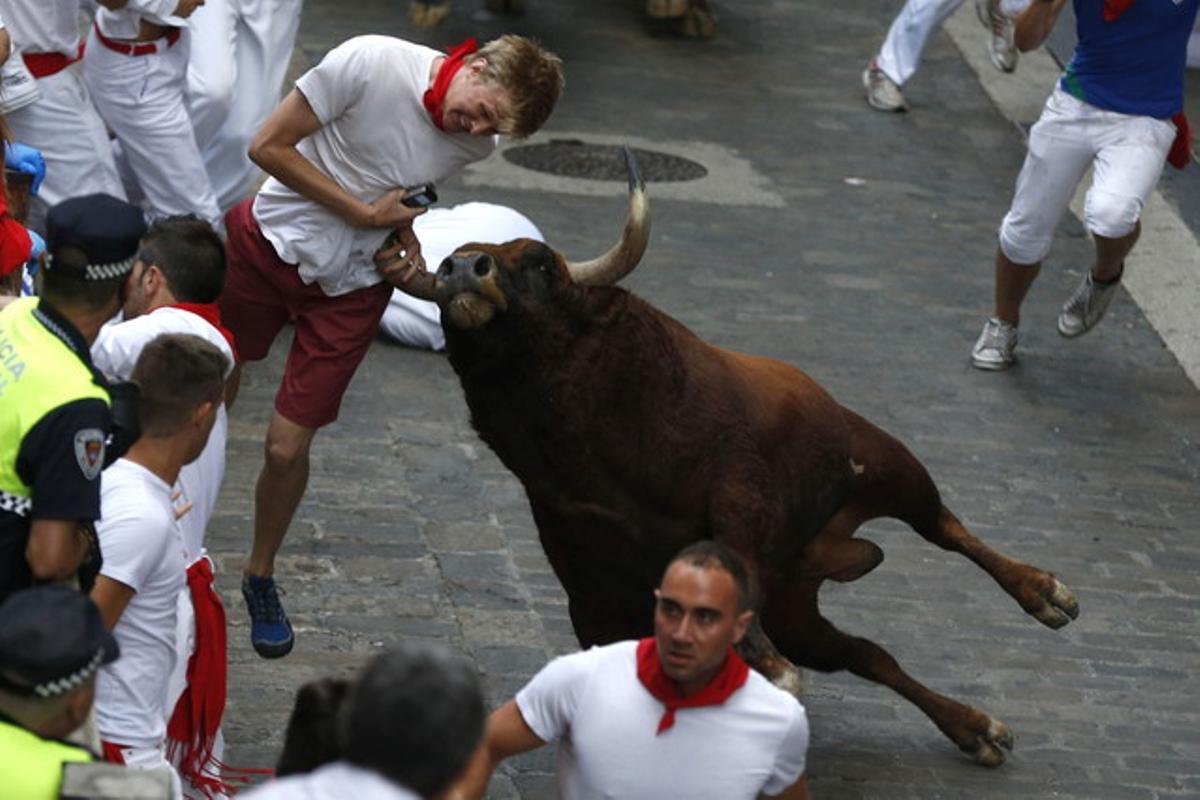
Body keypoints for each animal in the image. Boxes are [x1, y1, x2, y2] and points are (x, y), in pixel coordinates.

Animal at [393, 146, 1080, 767]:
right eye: (451, 261)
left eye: (538, 263)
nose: (463, 268)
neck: (602, 463)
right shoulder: (590, 598)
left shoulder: (736, 499)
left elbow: (739, 580)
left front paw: (770, 681)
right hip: (798, 608)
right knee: (866, 652)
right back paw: (976, 728)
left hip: (887, 464)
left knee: (945, 527)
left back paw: (1046, 595)